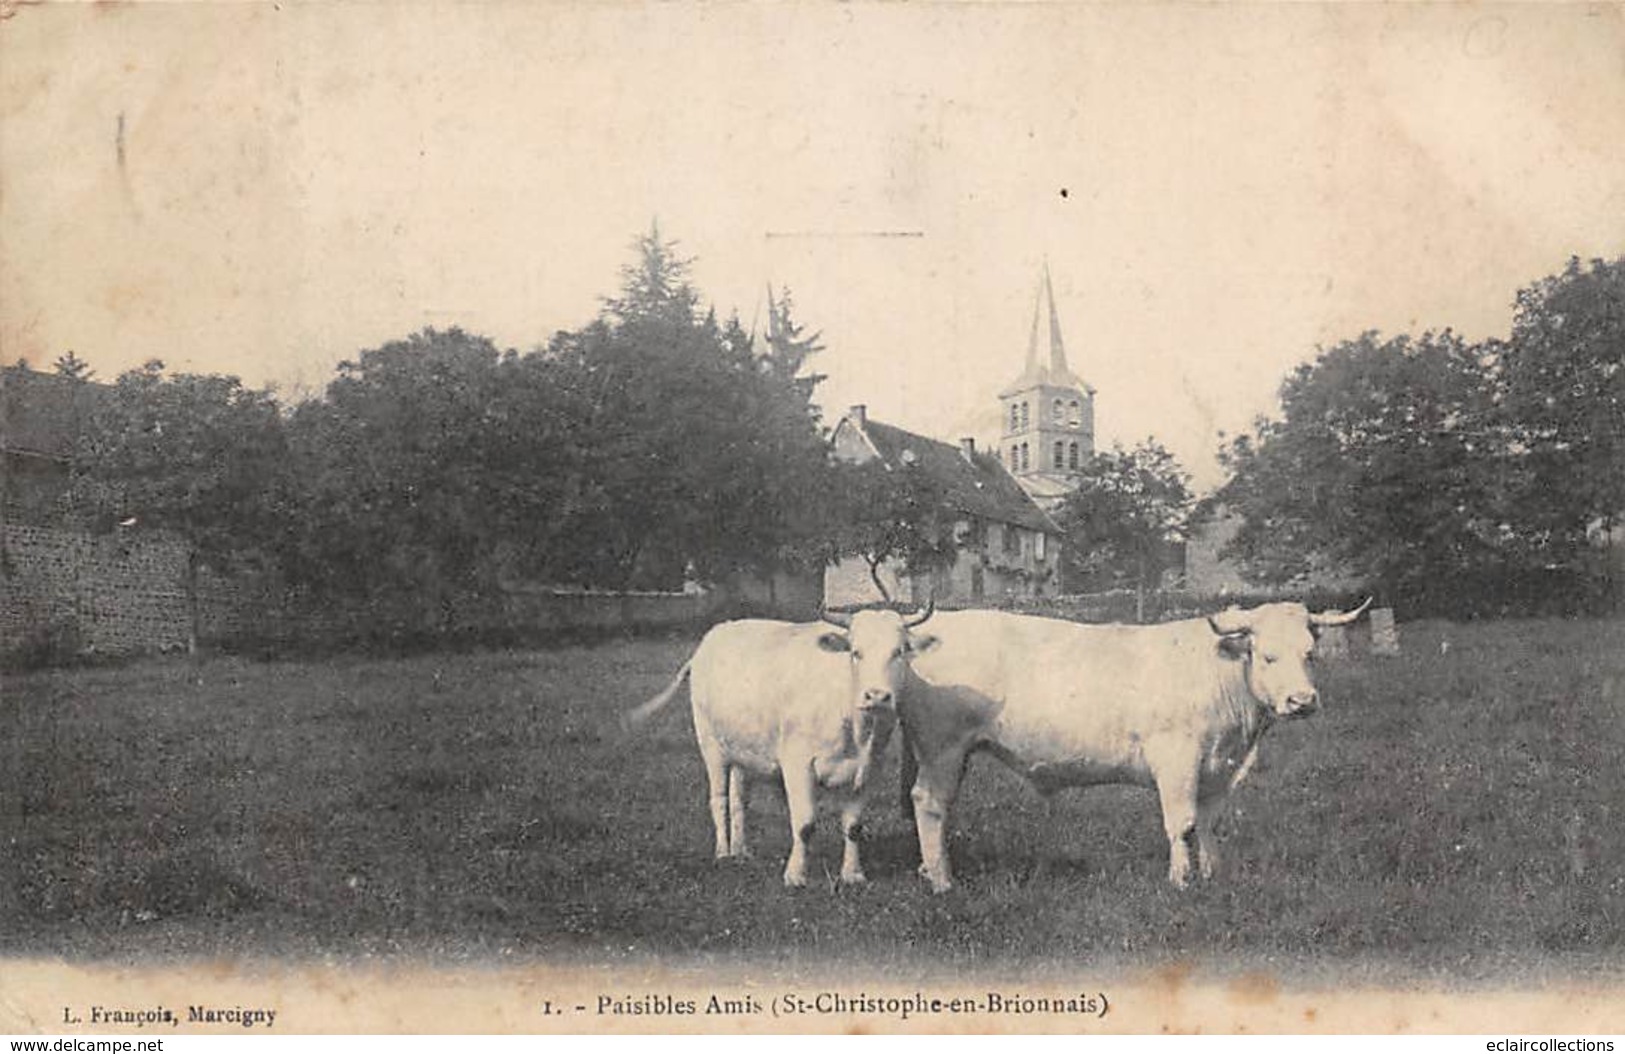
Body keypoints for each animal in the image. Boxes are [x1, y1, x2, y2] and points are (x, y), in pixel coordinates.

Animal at [624, 604, 942, 883]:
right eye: (855, 652)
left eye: (899, 651)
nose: (876, 696)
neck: (855, 728)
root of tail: (714, 635)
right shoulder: (797, 763)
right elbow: (804, 824)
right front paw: (795, 875)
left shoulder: (869, 768)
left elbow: (853, 826)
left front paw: (853, 874)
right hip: (710, 744)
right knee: (719, 798)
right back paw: (723, 852)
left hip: (743, 750)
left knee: (739, 799)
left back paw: (741, 850)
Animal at [903, 600, 1371, 889]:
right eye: (1268, 655)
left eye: (1310, 653)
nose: (1302, 701)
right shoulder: (1178, 759)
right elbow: (1182, 823)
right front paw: (1181, 880)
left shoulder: (1218, 768)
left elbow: (1208, 822)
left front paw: (1213, 875)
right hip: (943, 746)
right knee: (929, 803)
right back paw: (943, 881)